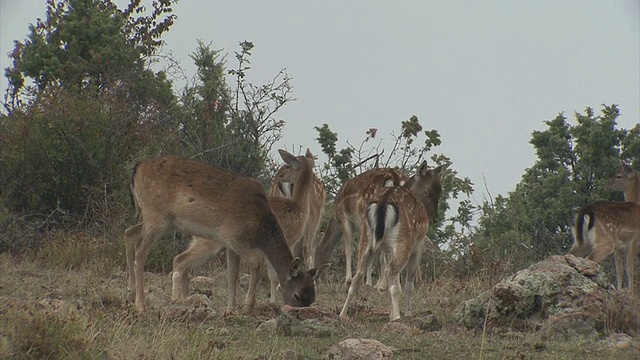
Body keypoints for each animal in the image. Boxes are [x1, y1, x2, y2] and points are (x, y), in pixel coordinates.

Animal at [124, 153, 324, 314]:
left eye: (312, 296)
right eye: (298, 294)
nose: (298, 311)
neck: (260, 227)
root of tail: (136, 169)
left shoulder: (230, 245)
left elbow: (232, 273)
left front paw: (230, 309)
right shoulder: (234, 235)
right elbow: (255, 262)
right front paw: (247, 306)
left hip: (159, 220)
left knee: (130, 233)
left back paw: (131, 295)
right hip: (156, 216)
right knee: (142, 252)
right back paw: (142, 306)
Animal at [338, 162, 448, 320]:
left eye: (440, 192)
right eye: (427, 192)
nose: (434, 218)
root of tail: (383, 203)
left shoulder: (386, 248)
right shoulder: (418, 245)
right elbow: (409, 284)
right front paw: (408, 312)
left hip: (367, 240)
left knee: (358, 275)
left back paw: (342, 313)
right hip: (403, 242)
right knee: (390, 270)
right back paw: (397, 316)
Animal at [568, 160, 640, 296]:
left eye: (618, 176)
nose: (607, 183)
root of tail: (586, 211)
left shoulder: (619, 246)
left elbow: (619, 269)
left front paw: (620, 290)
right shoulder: (633, 240)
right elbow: (630, 269)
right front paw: (632, 294)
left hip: (581, 241)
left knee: (570, 255)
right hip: (606, 239)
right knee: (589, 259)